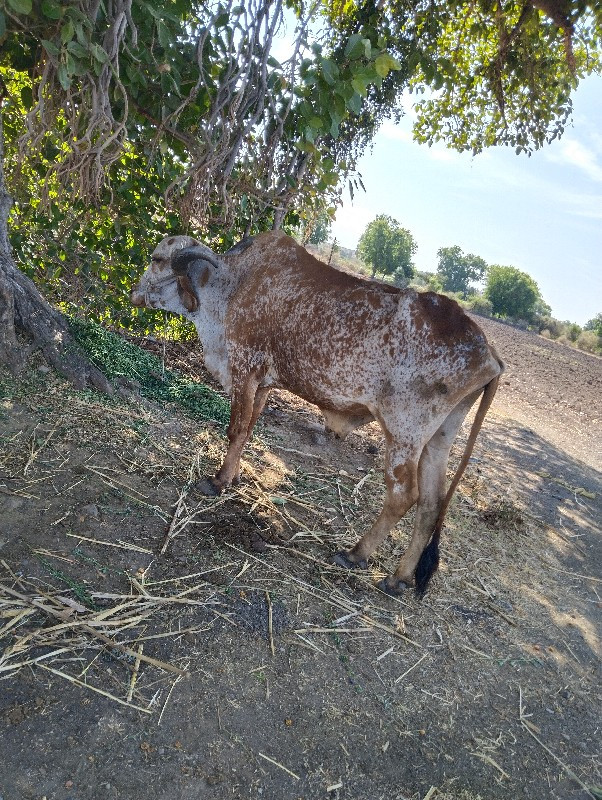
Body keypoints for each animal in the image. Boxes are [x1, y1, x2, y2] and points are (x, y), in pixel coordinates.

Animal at [131, 230, 502, 592]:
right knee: (430, 504)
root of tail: (489, 352)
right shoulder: (263, 384)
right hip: (439, 439)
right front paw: (233, 476)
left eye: (157, 259)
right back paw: (397, 578)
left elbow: (235, 430)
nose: (133, 293)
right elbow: (247, 431)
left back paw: (355, 554)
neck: (233, 282)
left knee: (404, 495)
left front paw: (218, 482)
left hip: (404, 433)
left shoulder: (244, 369)